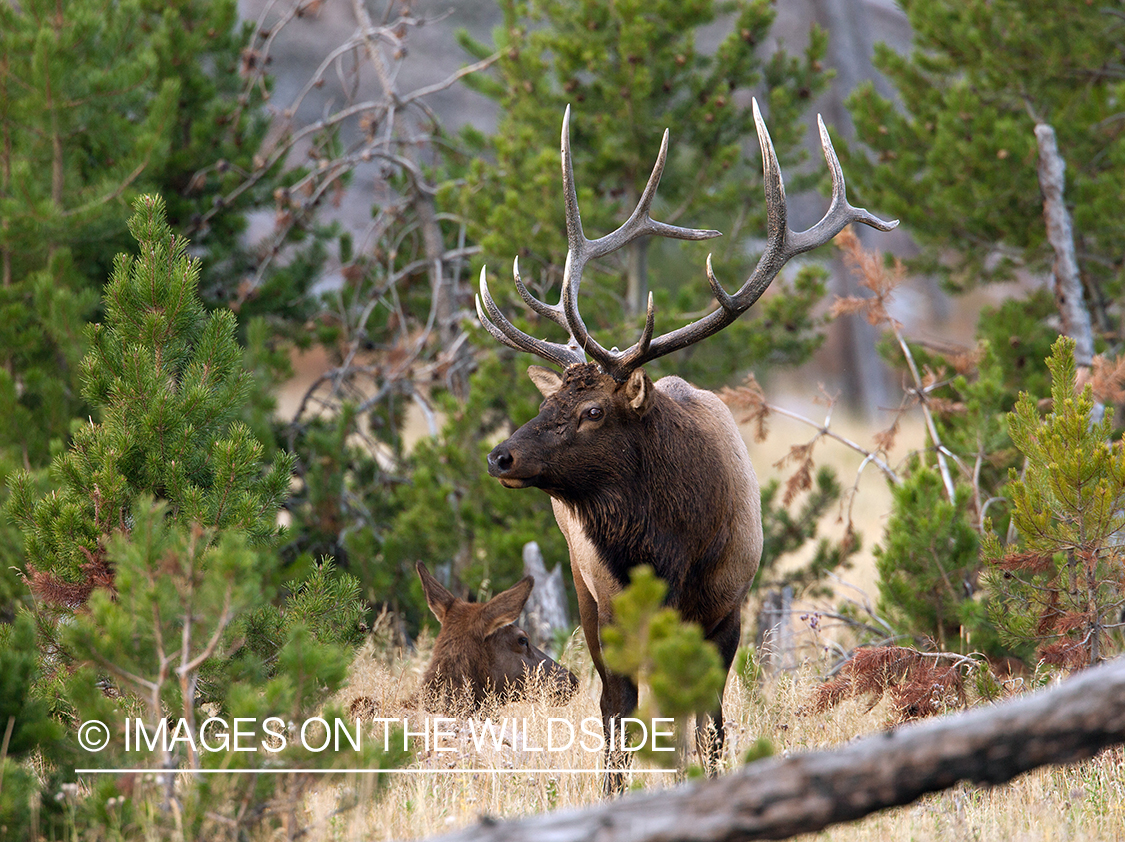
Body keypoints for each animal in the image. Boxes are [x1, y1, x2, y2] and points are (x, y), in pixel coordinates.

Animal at [474, 100, 895, 787]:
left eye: (592, 410)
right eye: (544, 404)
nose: (500, 455)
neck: (670, 551)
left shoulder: (727, 611)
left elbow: (712, 724)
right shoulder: (610, 615)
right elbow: (620, 717)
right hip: (586, 598)